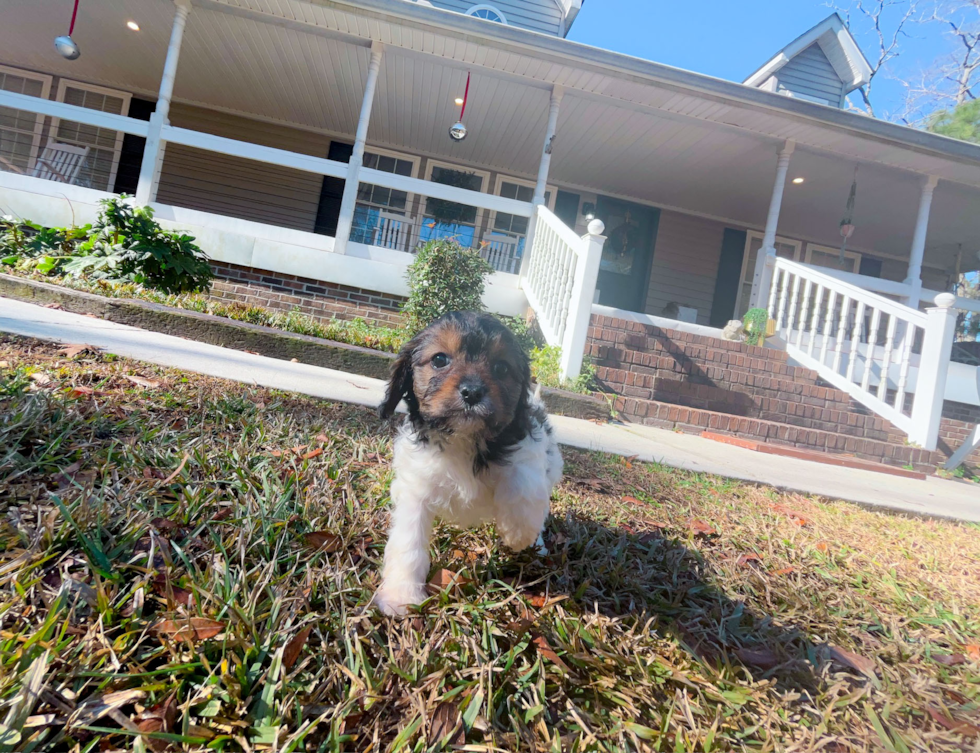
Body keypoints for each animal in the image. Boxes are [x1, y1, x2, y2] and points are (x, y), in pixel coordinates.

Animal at [374, 310, 560, 612]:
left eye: (501, 368)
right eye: (439, 359)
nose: (472, 392)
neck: (464, 438)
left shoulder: (530, 447)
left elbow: (524, 483)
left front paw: (518, 532)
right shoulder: (415, 487)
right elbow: (409, 540)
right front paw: (401, 594)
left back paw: (537, 544)